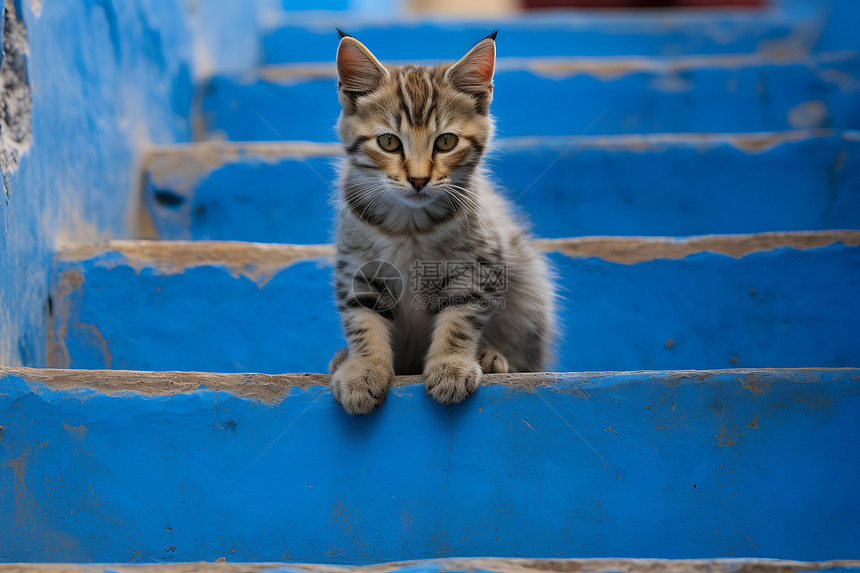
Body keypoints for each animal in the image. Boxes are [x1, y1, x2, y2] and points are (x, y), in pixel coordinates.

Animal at [326, 31, 556, 414]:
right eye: (388, 142)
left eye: (446, 141)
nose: (419, 180)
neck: (409, 225)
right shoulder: (357, 269)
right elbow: (363, 321)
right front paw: (364, 369)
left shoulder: (479, 266)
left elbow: (459, 319)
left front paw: (451, 366)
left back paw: (492, 358)